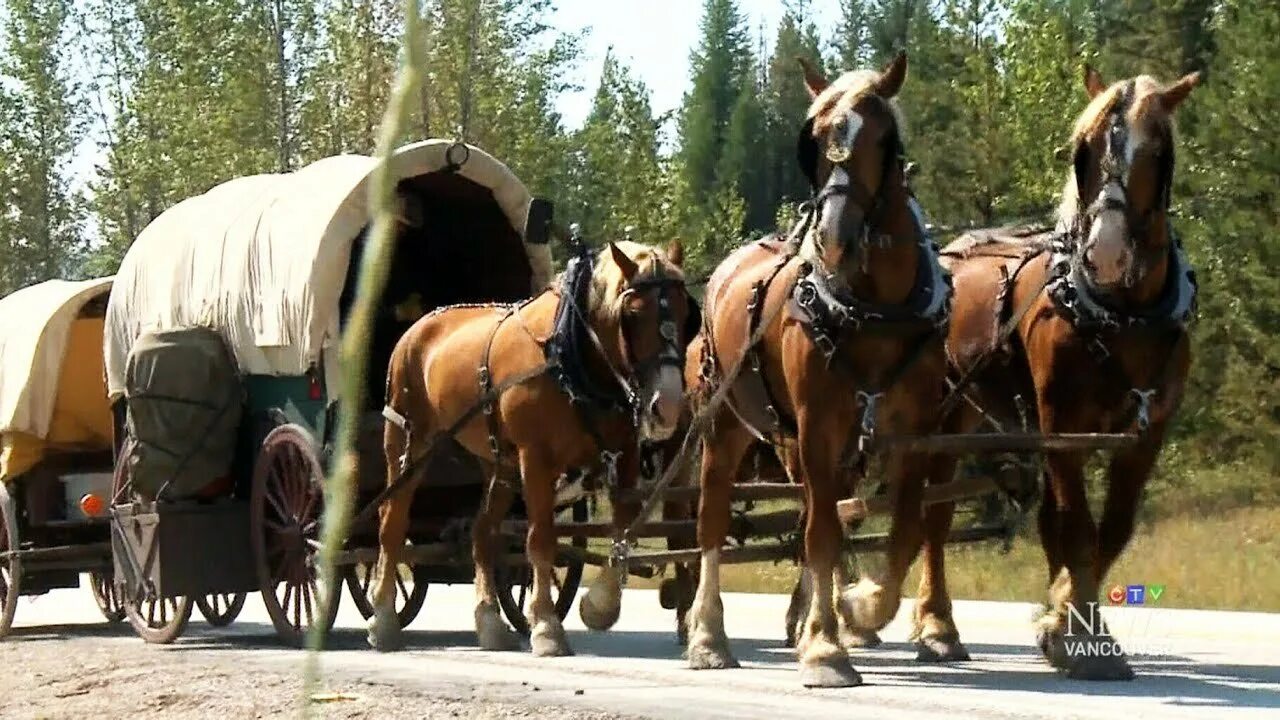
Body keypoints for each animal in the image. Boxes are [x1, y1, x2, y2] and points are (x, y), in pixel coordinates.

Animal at [366, 238, 696, 653]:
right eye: (633, 314)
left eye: (685, 312)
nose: (667, 406)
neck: (569, 354)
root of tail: (418, 327)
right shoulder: (536, 459)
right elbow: (540, 540)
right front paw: (546, 627)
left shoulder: (625, 455)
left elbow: (623, 527)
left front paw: (599, 605)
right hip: (409, 441)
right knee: (392, 521)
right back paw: (383, 618)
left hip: (499, 462)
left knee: (482, 531)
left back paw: (490, 622)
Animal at [686, 54, 957, 681]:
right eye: (814, 139)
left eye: (882, 137)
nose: (833, 234)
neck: (876, 306)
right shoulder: (816, 423)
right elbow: (822, 534)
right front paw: (827, 648)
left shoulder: (914, 430)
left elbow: (902, 529)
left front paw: (857, 611)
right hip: (727, 424)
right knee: (714, 518)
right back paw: (709, 636)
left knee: (825, 508)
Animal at [921, 64, 1198, 676]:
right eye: (1083, 150)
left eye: (1158, 151)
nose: (1106, 254)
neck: (1122, 312)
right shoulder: (1061, 424)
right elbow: (1074, 525)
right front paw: (1074, 634)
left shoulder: (1147, 433)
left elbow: (1111, 528)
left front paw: (1066, 620)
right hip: (946, 418)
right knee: (934, 511)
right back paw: (936, 626)